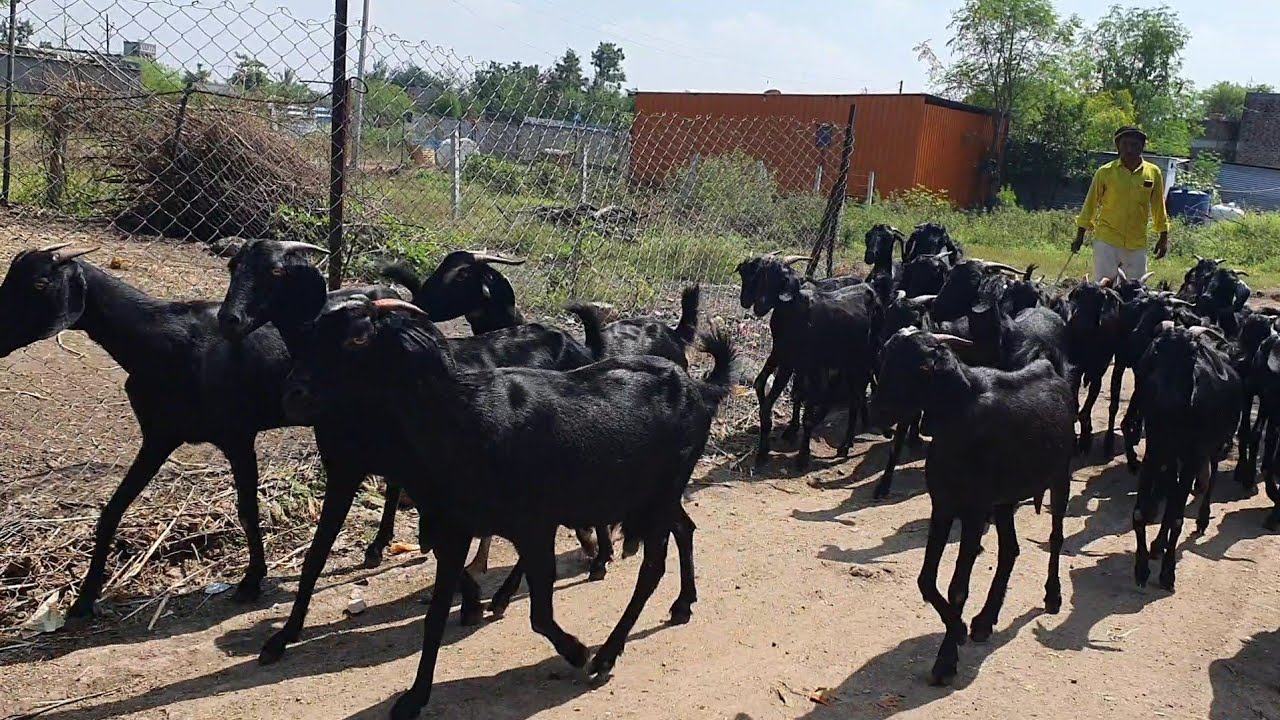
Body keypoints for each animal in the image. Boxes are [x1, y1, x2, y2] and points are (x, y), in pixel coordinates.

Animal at [260, 297, 734, 719]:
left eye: (357, 338)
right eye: (313, 333)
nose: (292, 394)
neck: (462, 416)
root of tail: (697, 387)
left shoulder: (534, 526)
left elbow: (540, 614)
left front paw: (577, 650)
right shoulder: (453, 530)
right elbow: (436, 616)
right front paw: (414, 697)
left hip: (660, 494)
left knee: (651, 568)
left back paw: (606, 654)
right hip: (653, 497)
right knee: (685, 529)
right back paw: (682, 604)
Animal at [869, 328, 1072, 686]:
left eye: (921, 369)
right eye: (884, 358)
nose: (876, 411)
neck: (959, 425)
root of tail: (1053, 371)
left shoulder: (974, 512)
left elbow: (957, 587)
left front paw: (946, 659)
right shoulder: (943, 505)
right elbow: (926, 579)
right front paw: (961, 629)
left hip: (1061, 476)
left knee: (1055, 537)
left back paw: (1052, 596)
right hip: (1004, 501)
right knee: (1010, 550)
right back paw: (984, 621)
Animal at [1129, 323, 1241, 591]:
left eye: (1192, 355)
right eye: (1157, 350)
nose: (1166, 399)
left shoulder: (1192, 455)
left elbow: (1178, 519)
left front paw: (1167, 574)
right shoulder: (1157, 450)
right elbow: (1145, 513)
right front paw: (1141, 570)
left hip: (1215, 444)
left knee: (1210, 477)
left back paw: (1201, 520)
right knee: (1172, 500)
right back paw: (1158, 545)